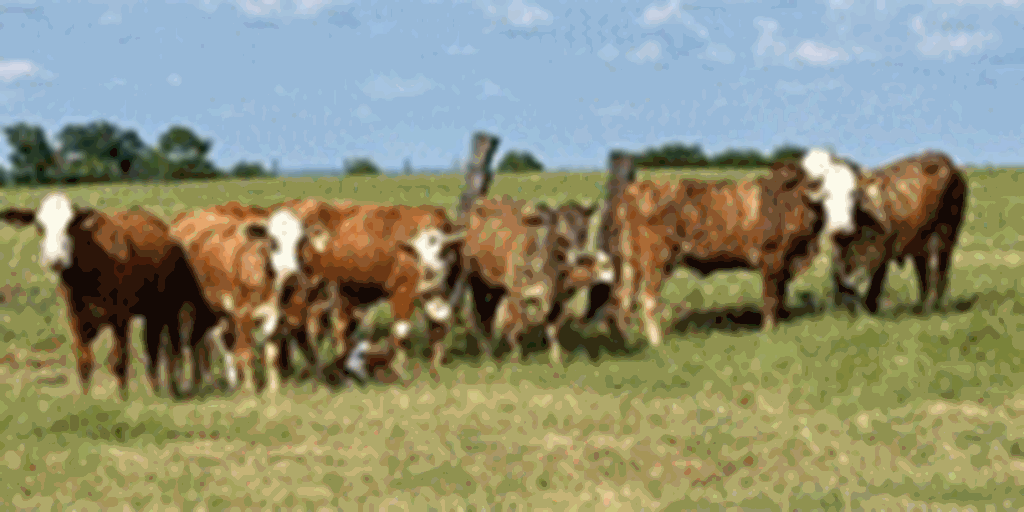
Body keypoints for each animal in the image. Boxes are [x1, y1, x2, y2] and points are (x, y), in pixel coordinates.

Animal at [0, 192, 223, 398]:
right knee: (152, 348)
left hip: (168, 308)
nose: (56, 259)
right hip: (151, 311)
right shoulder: (76, 319)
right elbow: (84, 362)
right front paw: (86, 400)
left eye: (70, 226)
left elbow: (119, 361)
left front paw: (122, 400)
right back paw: (156, 389)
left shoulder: (120, 316)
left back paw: (172, 389)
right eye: (40, 226)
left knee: (171, 348)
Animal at [169, 201, 305, 394]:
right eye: (273, 242)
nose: (291, 274)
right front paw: (249, 389)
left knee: (205, 342)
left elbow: (271, 353)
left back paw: (213, 381)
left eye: (300, 241)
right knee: (185, 344)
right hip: (185, 310)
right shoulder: (242, 315)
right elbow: (245, 352)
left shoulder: (274, 315)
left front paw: (273, 389)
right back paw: (187, 383)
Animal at [605, 153, 844, 347]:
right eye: (808, 169)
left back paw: (626, 340)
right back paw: (657, 342)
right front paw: (768, 330)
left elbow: (780, 294)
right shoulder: (772, 257)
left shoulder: (784, 262)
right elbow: (771, 297)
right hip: (656, 259)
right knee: (647, 299)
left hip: (631, 264)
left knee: (623, 298)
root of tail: (634, 189)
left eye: (829, 168)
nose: (816, 185)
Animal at [825, 150, 968, 314]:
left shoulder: (882, 249)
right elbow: (839, 279)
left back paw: (932, 305)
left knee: (938, 270)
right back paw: (921, 306)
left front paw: (870, 308)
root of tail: (947, 161)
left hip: (944, 234)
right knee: (924, 274)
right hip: (921, 242)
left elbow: (875, 280)